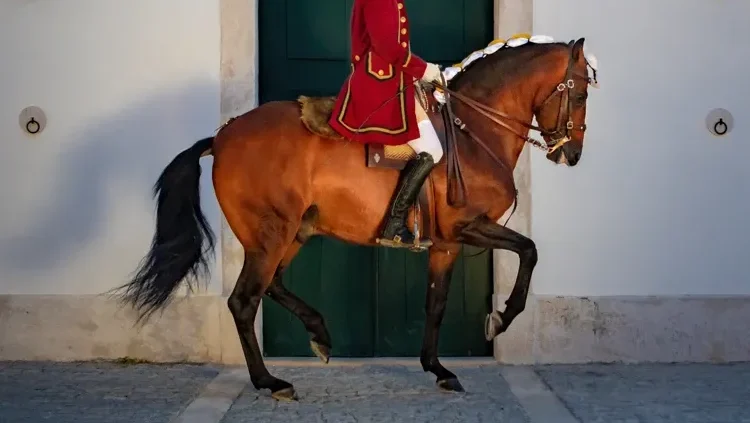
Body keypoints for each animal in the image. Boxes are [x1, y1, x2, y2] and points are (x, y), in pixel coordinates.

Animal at [116, 35, 600, 400]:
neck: (473, 132)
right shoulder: (468, 227)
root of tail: (221, 136)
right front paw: (501, 317)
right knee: (244, 301)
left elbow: (436, 304)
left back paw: (319, 333)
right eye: (578, 93)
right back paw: (270, 381)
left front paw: (438, 368)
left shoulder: (446, 244)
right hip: (272, 234)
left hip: (292, 233)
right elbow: (529, 251)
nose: (573, 155)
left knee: (271, 285)